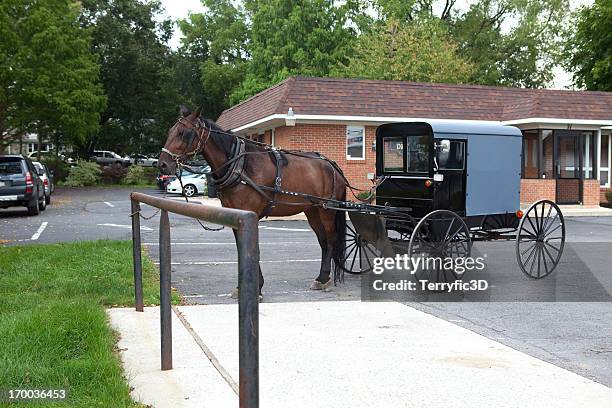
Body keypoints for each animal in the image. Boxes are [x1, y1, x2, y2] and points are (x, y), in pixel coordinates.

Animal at [157, 107, 350, 294]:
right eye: (170, 131)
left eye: (183, 133)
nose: (162, 164)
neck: (241, 166)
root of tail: (333, 165)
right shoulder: (236, 215)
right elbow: (241, 247)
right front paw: (244, 287)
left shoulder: (251, 214)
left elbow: (253, 248)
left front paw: (257, 287)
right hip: (312, 210)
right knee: (323, 241)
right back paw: (321, 277)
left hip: (327, 210)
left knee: (331, 239)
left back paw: (324, 278)